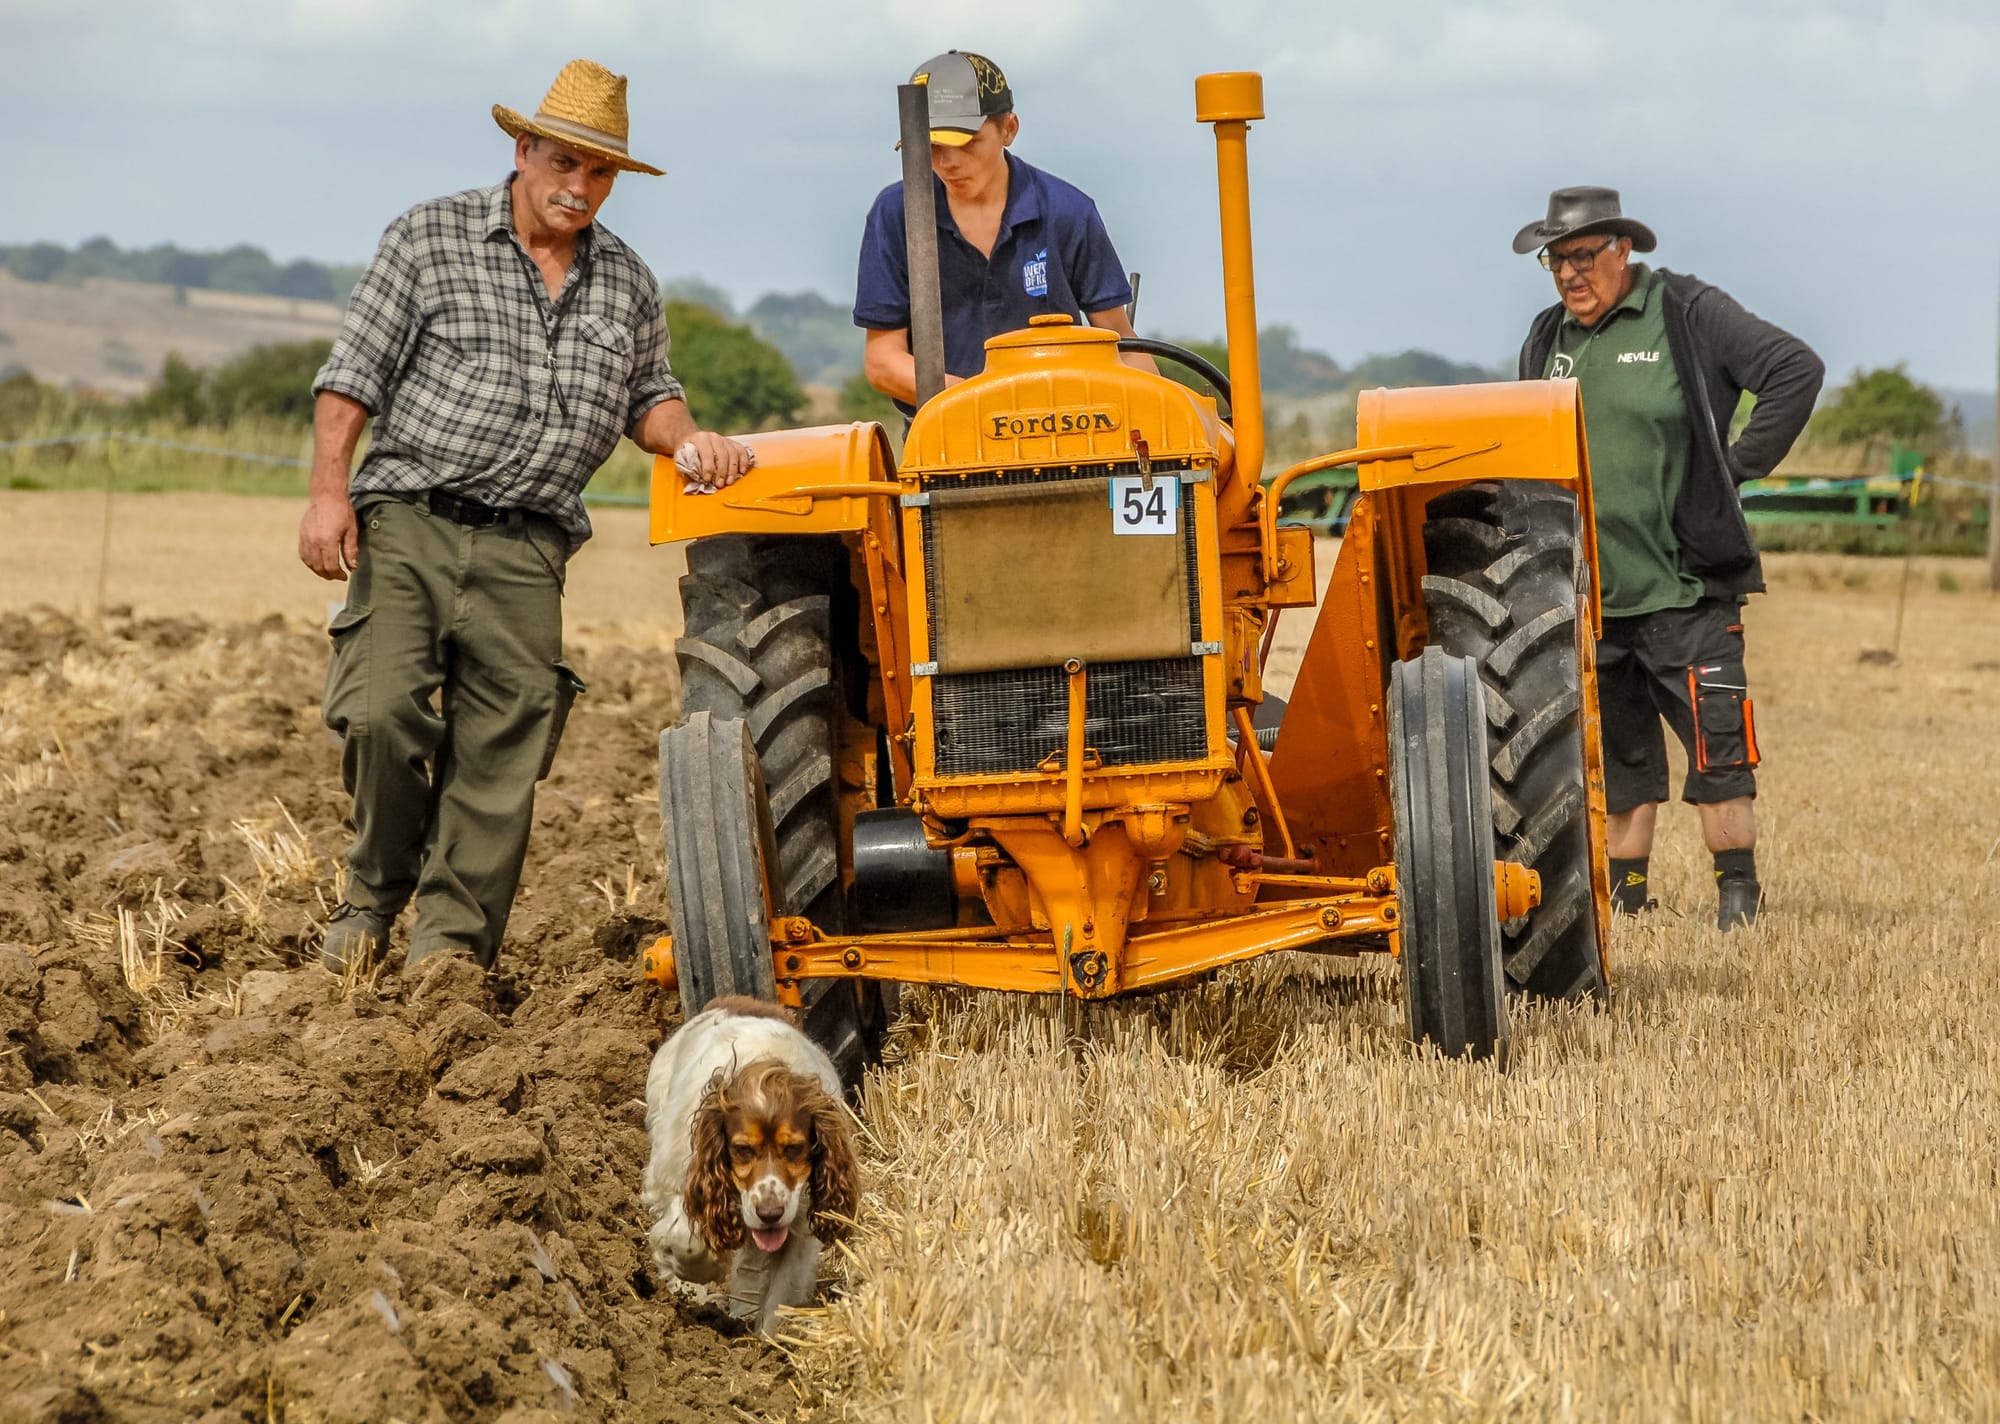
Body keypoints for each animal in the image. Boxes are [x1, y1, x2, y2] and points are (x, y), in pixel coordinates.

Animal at [640, 997, 858, 1335]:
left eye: (794, 1149)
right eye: (741, 1150)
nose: (769, 1213)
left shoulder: (798, 1226)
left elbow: (781, 1295)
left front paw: (766, 1342)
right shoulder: (683, 1181)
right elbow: (686, 1241)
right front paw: (693, 1275)